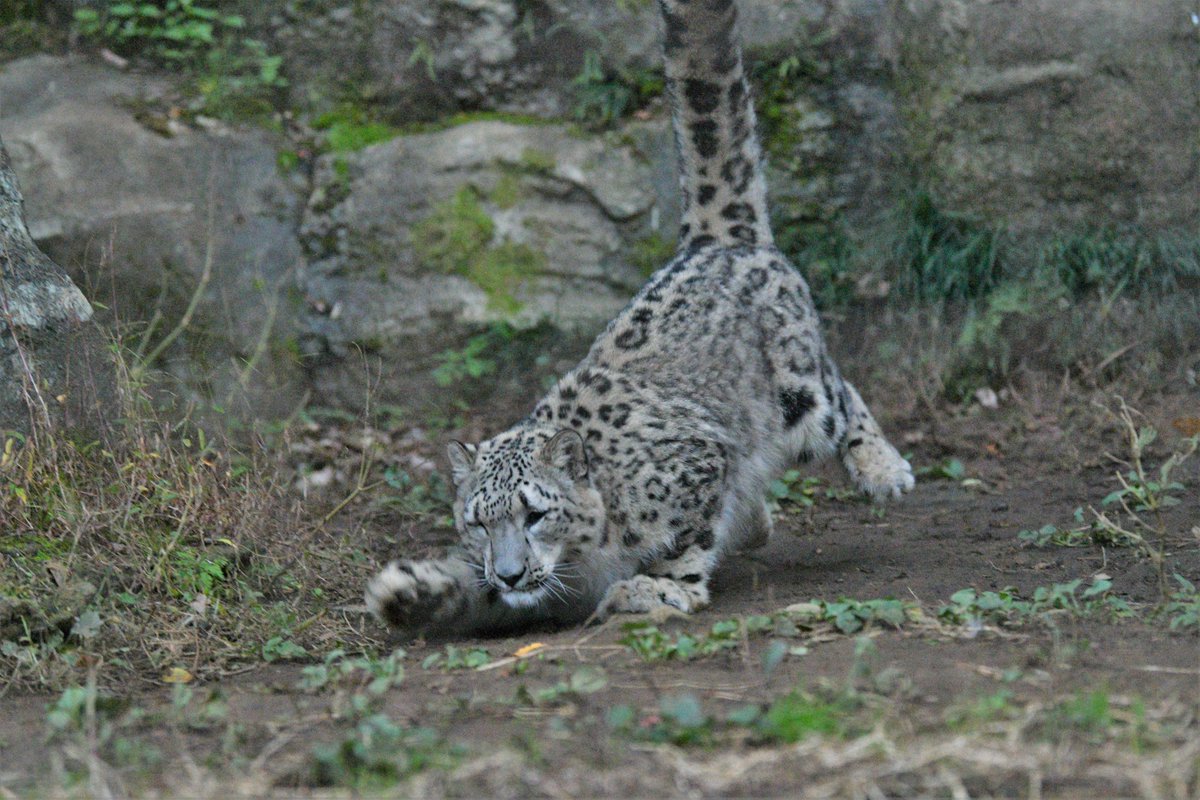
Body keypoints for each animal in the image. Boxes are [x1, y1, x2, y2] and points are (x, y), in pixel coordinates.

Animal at [362, 0, 907, 638]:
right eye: (478, 521)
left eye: (534, 513)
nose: (512, 574)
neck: (581, 561)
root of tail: (715, 242)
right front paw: (409, 591)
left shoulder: (695, 464)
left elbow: (682, 538)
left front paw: (657, 588)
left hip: (801, 396)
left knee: (840, 392)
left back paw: (884, 470)